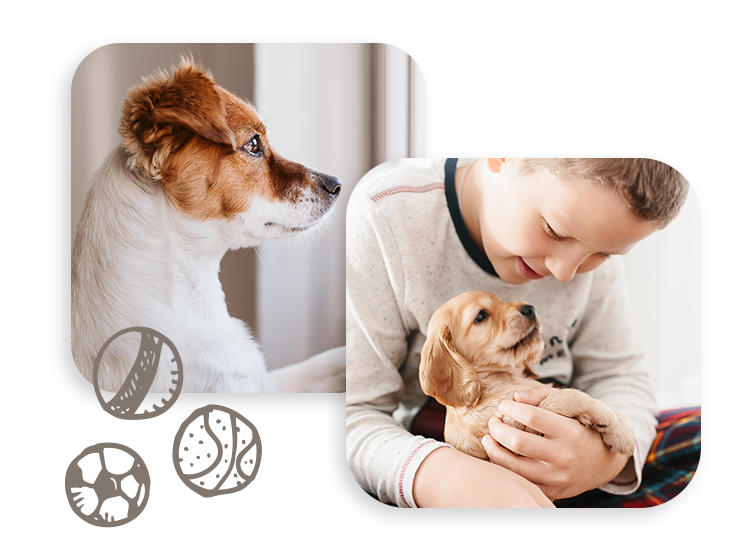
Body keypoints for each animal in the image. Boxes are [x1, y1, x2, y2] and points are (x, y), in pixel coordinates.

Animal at [418, 294, 632, 460]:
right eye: (480, 316)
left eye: (500, 300)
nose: (530, 308)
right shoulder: (520, 428)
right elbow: (565, 395)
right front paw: (619, 429)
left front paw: (619, 425)